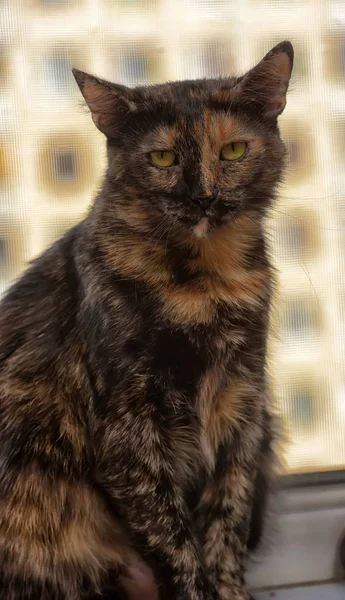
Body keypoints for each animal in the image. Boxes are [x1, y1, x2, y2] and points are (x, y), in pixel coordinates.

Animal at [0, 41, 292, 600]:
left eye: (233, 151)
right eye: (162, 157)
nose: (202, 197)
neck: (204, 285)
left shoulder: (242, 409)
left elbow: (227, 523)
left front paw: (232, 590)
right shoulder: (128, 435)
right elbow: (176, 542)